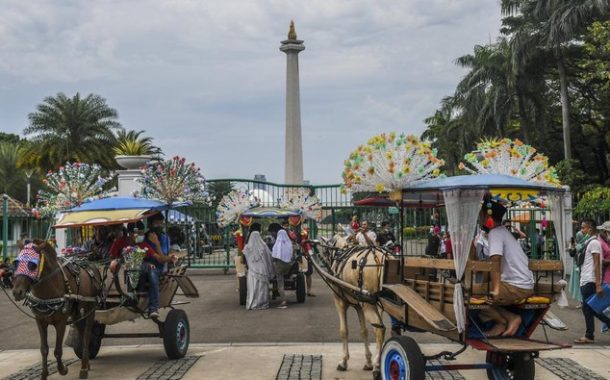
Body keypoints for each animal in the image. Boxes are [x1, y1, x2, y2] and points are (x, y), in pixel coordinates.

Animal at [12, 242, 102, 378]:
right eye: (16, 263)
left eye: (32, 265)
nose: (17, 292)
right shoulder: (40, 321)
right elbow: (44, 349)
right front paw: (44, 374)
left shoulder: (61, 321)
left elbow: (58, 350)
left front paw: (63, 370)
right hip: (76, 314)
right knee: (82, 333)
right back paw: (86, 363)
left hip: (90, 309)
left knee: (86, 336)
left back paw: (83, 369)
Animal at [314, 235, 384, 378]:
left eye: (325, 251)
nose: (323, 260)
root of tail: (378, 257)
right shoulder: (359, 305)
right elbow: (364, 331)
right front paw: (368, 361)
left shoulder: (340, 302)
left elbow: (343, 331)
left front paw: (344, 361)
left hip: (369, 305)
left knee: (379, 330)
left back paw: (377, 366)